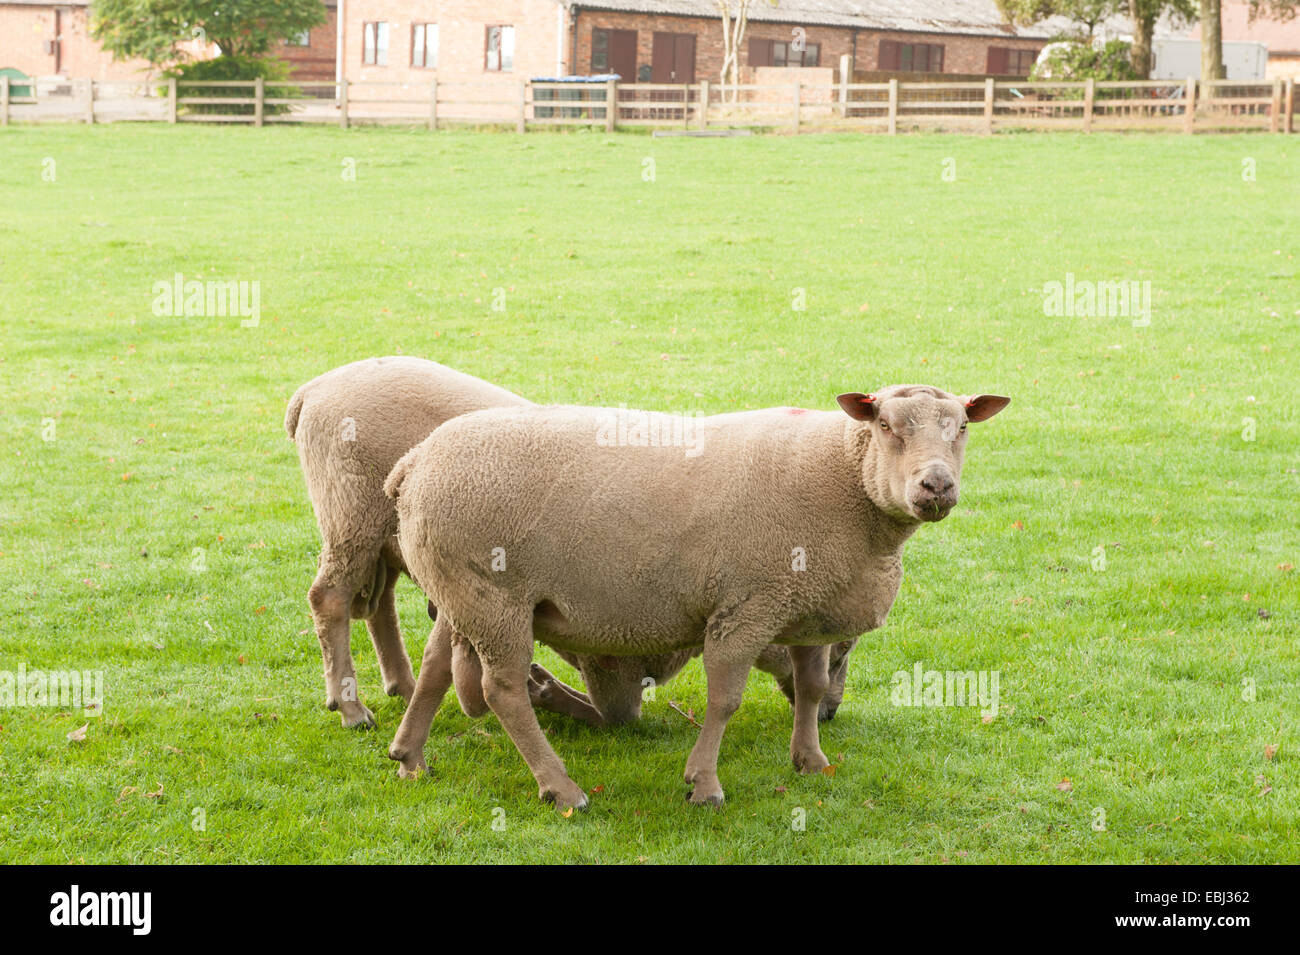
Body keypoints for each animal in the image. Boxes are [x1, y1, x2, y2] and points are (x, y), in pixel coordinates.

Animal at [284, 358, 842, 732]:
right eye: (837, 652)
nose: (830, 712)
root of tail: (312, 390)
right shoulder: (615, 653)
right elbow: (616, 712)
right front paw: (553, 697)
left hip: (379, 534)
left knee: (377, 606)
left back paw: (397, 684)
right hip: (350, 513)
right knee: (330, 599)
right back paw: (350, 707)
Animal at [379, 382, 1008, 805]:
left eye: (963, 428)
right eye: (886, 427)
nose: (936, 485)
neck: (843, 478)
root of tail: (412, 463)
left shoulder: (804, 608)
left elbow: (808, 688)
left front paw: (810, 760)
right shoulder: (750, 602)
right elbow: (725, 700)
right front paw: (703, 784)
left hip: (460, 590)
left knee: (435, 665)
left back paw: (410, 757)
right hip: (494, 596)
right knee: (504, 690)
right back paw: (562, 789)